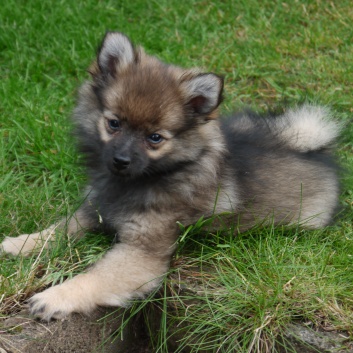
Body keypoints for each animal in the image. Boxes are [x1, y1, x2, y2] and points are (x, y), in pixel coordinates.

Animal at [0, 32, 340, 320]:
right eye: (113, 123)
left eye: (155, 138)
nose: (120, 160)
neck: (141, 180)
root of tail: (313, 150)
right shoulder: (94, 209)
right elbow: (59, 229)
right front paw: (20, 244)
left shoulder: (141, 251)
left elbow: (95, 276)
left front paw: (54, 297)